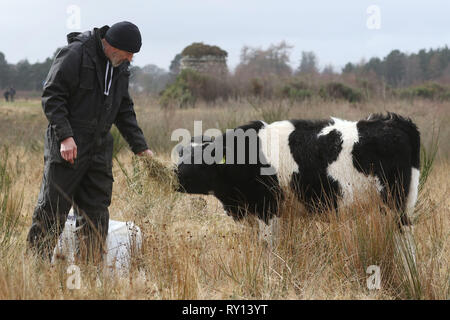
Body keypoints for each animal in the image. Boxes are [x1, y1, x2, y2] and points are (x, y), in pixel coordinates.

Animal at [174, 112, 420, 235]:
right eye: (181, 154)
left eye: (202, 160)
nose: (175, 176)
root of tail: (394, 121)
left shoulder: (267, 209)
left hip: (394, 202)